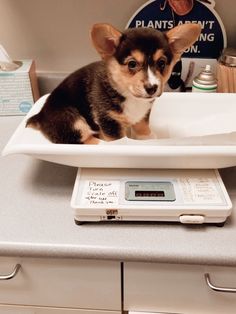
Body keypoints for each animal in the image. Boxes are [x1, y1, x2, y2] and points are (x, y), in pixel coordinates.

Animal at [26, 23, 201, 144]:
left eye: (162, 63)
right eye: (132, 64)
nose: (152, 88)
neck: (127, 94)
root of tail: (39, 116)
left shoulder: (144, 112)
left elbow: (142, 124)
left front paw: (147, 137)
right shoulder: (108, 120)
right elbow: (118, 140)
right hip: (71, 119)